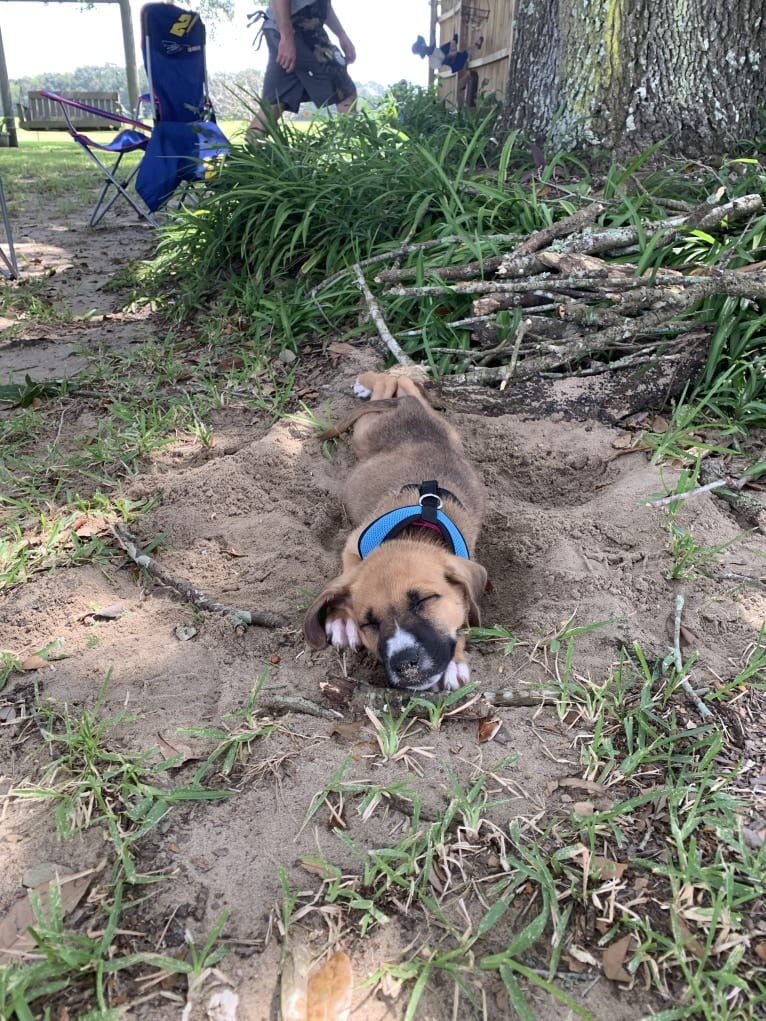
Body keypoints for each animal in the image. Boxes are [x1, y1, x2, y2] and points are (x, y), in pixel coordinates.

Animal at [304, 371, 488, 690]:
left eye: (426, 600)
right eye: (369, 623)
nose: (406, 663)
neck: (416, 529)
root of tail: (407, 409)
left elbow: (463, 616)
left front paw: (454, 662)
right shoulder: (352, 545)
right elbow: (344, 580)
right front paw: (341, 619)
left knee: (400, 385)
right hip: (366, 431)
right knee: (390, 382)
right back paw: (369, 382)